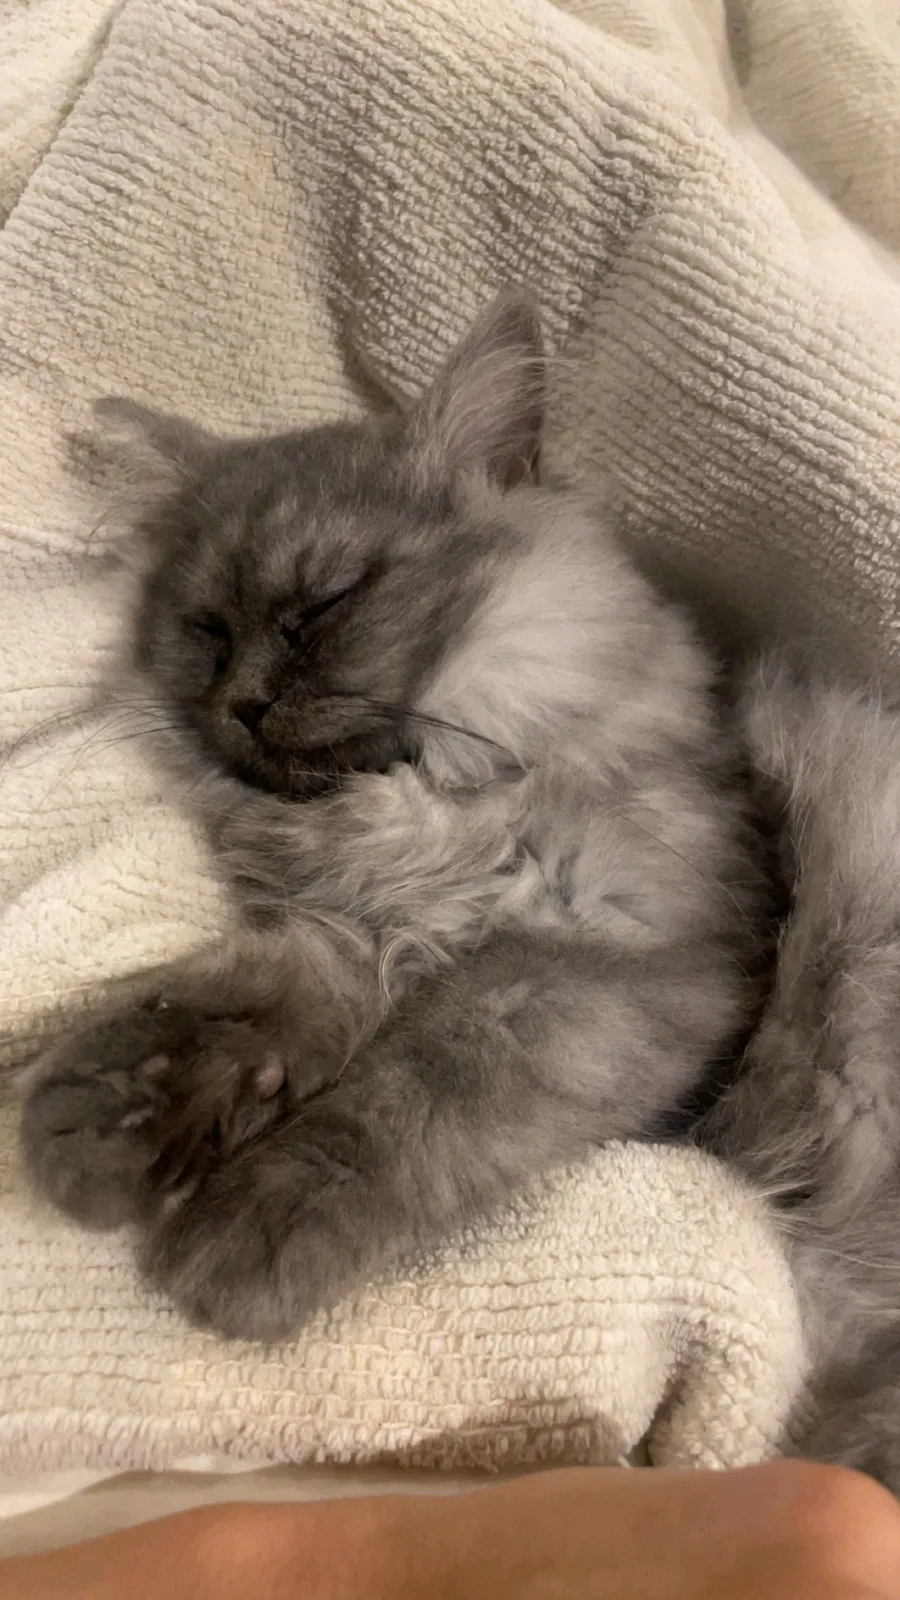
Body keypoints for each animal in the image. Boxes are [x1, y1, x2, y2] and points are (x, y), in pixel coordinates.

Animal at [21, 295, 767, 1348]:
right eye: (209, 631)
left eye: (323, 606)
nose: (242, 704)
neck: (415, 814)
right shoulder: (350, 930)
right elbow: (240, 1000)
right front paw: (118, 1102)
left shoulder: (594, 970)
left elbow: (400, 1098)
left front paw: (243, 1229)